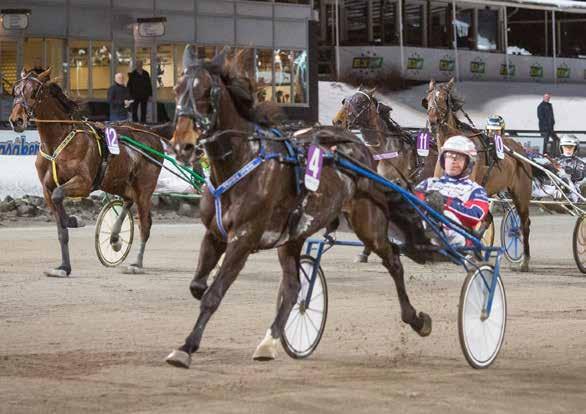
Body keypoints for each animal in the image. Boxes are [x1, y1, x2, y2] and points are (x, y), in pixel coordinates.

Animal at [9, 70, 163, 278]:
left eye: (34, 92)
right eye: (15, 90)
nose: (16, 120)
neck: (58, 142)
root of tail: (152, 134)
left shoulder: (83, 183)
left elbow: (59, 195)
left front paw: (73, 220)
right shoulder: (46, 189)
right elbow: (61, 230)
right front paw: (64, 267)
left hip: (144, 188)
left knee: (145, 224)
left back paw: (136, 264)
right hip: (117, 182)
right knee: (128, 200)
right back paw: (115, 238)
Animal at [422, 77, 532, 272]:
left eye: (443, 98)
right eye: (428, 99)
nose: (433, 121)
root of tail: (520, 150)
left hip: (521, 194)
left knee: (524, 224)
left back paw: (524, 261)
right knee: (487, 219)